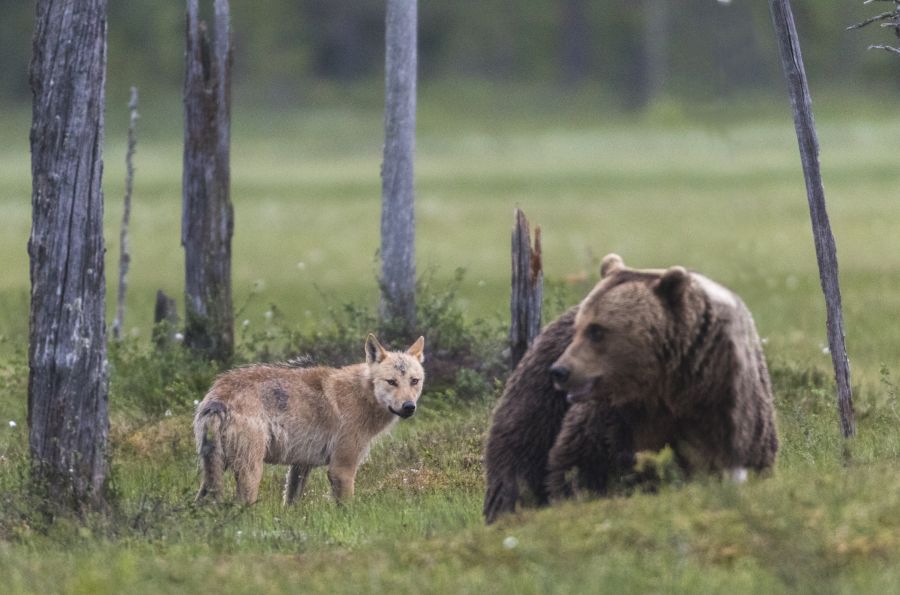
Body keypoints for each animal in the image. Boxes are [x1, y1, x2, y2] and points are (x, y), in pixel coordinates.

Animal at [193, 336, 426, 502]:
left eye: (414, 381)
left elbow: (291, 504)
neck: (361, 395)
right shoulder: (341, 470)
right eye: (392, 382)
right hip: (251, 473)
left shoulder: (301, 466)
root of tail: (218, 398)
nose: (409, 407)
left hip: (213, 474)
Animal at [482, 254, 776, 524]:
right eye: (581, 328)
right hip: (540, 398)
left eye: (597, 330)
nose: (560, 371)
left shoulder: (723, 408)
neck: (664, 390)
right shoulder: (615, 416)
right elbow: (582, 463)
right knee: (519, 452)